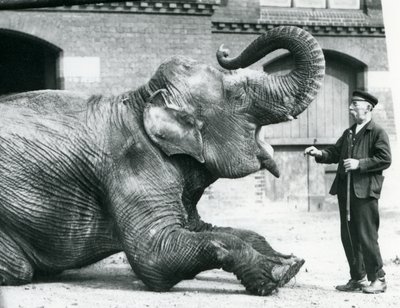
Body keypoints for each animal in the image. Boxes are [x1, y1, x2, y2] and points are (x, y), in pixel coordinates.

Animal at [0, 25, 324, 294]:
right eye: (236, 95)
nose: (224, 52)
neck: (141, 99)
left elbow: (208, 229)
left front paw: (288, 260)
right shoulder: (135, 165)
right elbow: (155, 257)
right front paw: (277, 273)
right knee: (19, 269)